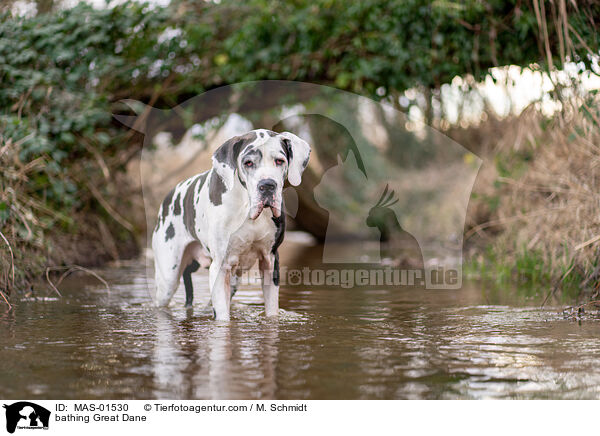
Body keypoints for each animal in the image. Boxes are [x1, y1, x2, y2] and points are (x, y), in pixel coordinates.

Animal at [150, 129, 312, 320]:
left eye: (279, 161)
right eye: (248, 163)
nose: (267, 185)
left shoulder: (270, 261)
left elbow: (271, 311)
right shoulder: (219, 268)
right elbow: (223, 319)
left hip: (234, 279)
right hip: (168, 278)